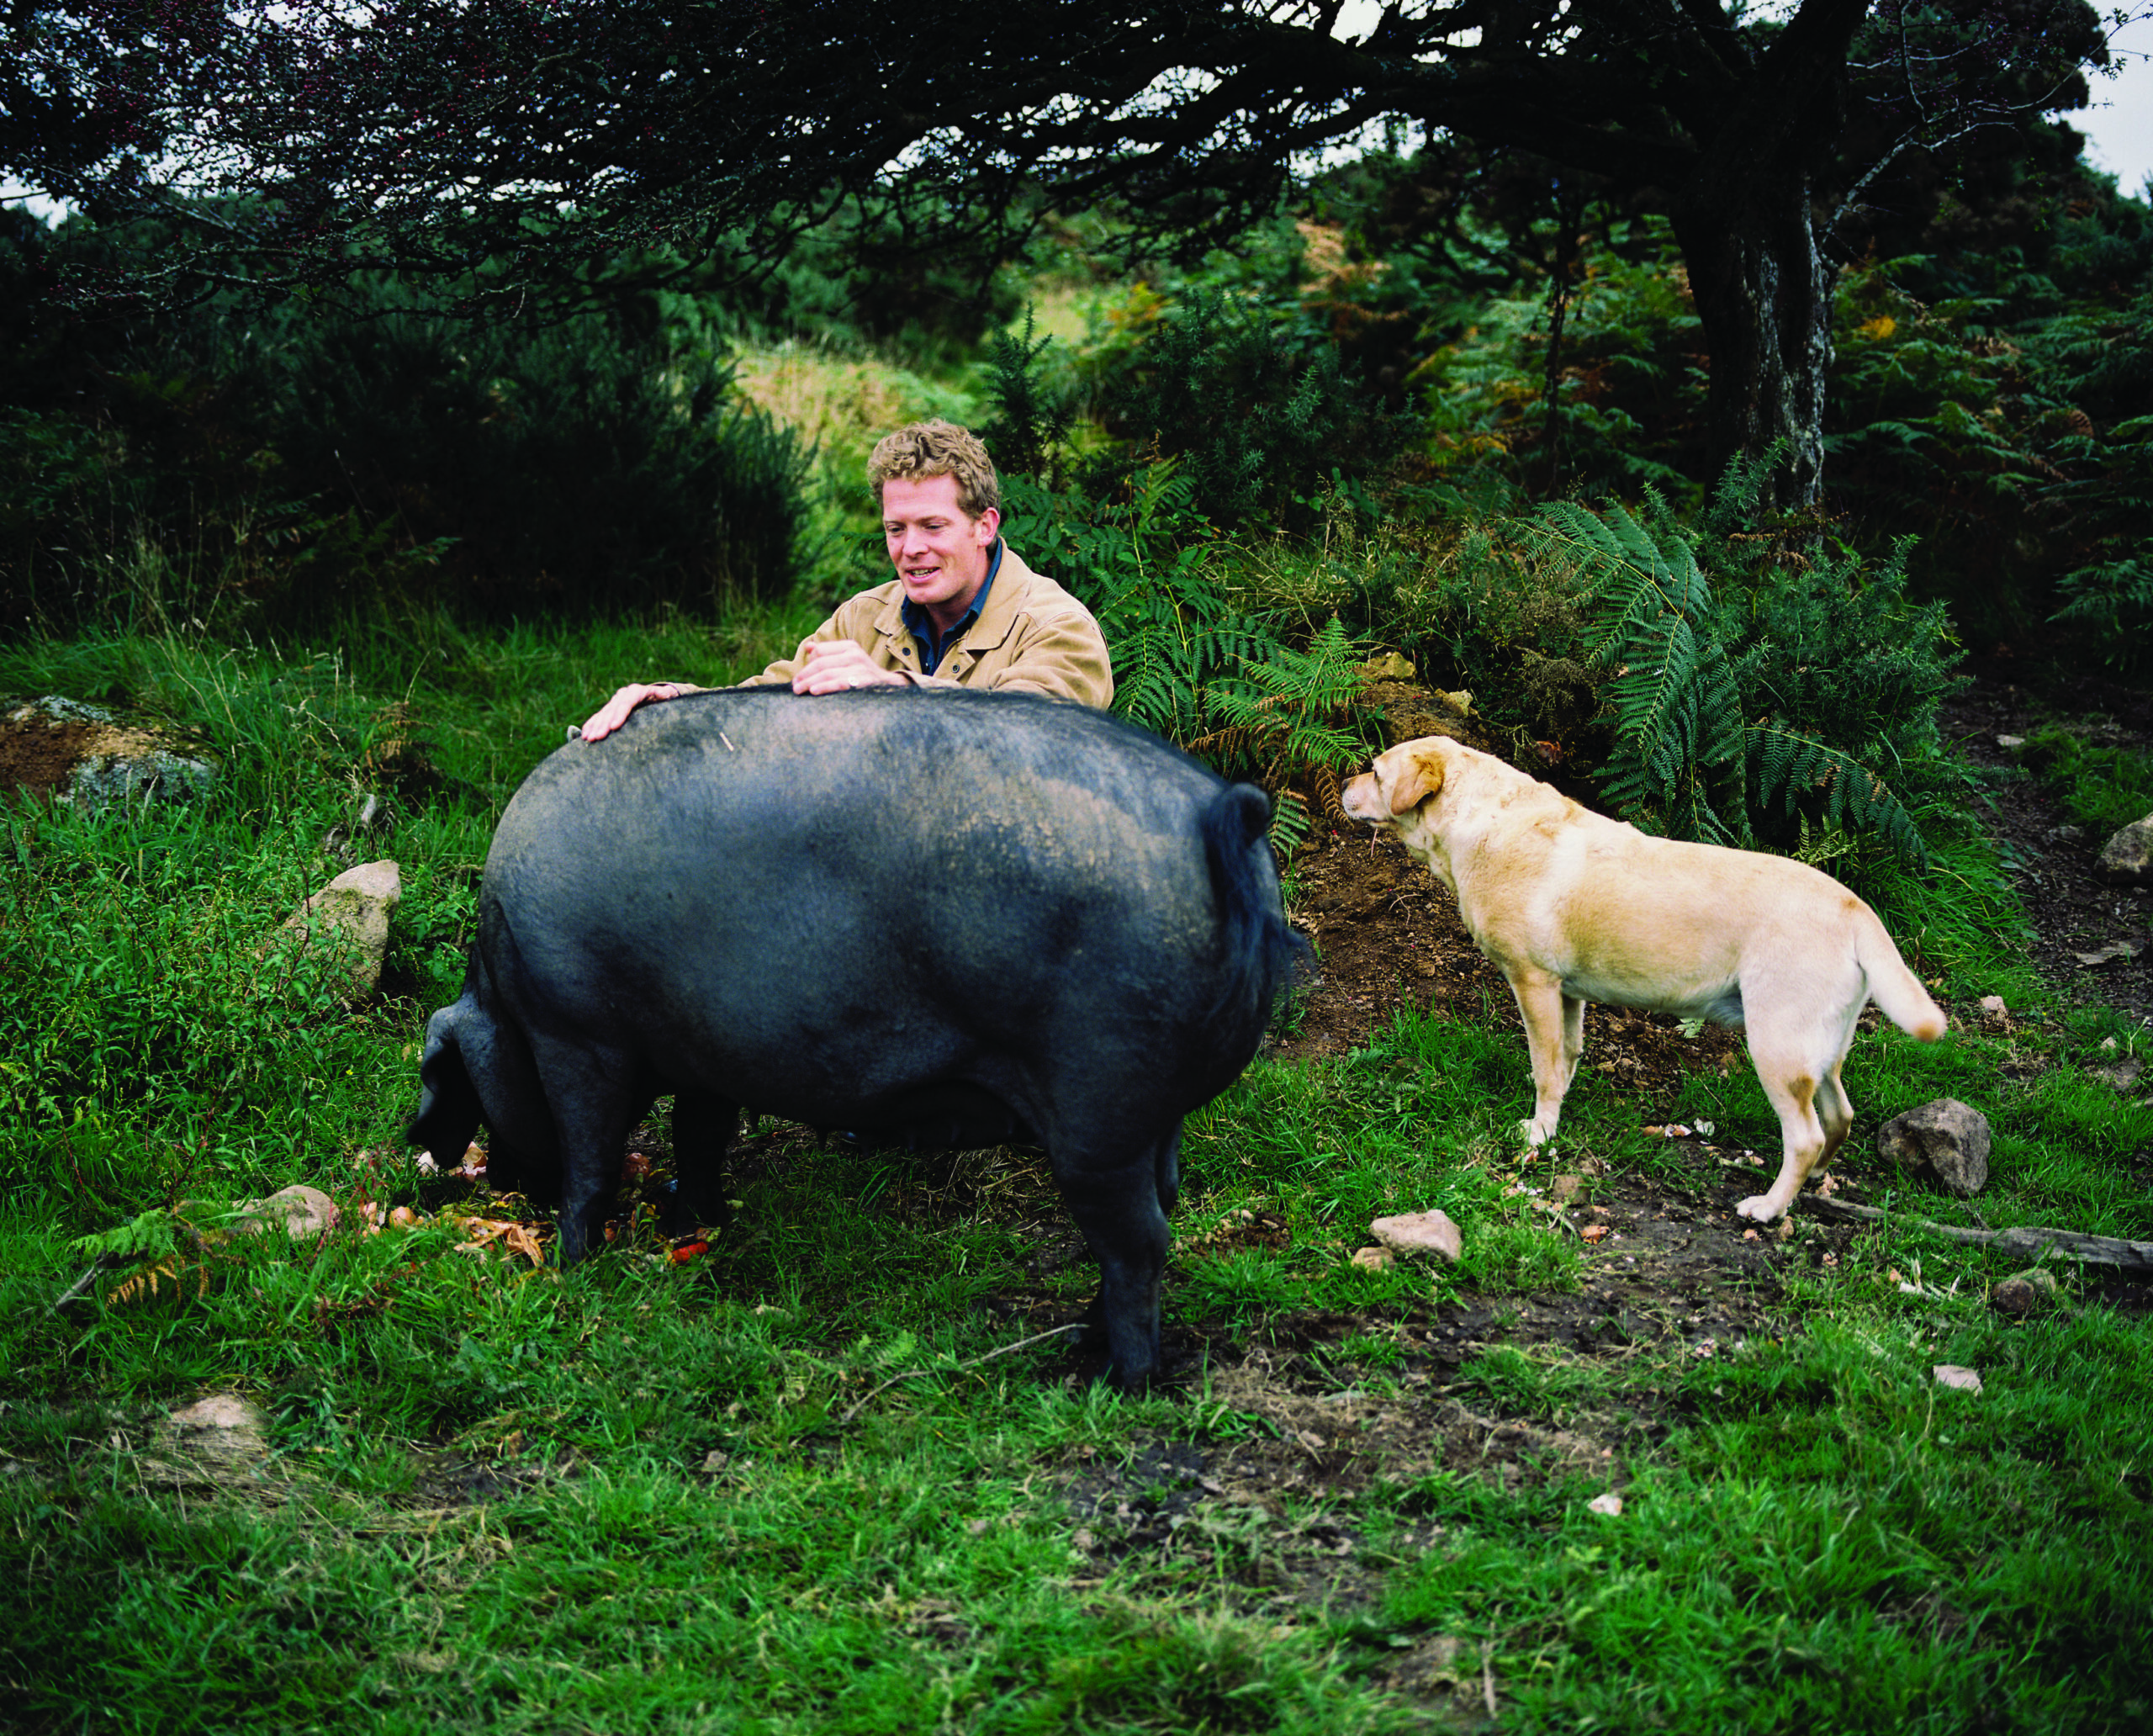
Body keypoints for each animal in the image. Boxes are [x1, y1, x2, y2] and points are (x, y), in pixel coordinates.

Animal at [410, 685, 1300, 1395]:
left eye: (449, 1084)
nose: (492, 1182)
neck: (501, 986)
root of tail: (1219, 814)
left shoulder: (577, 1034)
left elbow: (590, 1158)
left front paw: (573, 1268)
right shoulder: (707, 1055)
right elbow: (700, 1134)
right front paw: (689, 1222)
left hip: (1100, 1106)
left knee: (1139, 1240)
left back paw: (1120, 1382)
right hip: (1155, 1113)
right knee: (1161, 1208)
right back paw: (1087, 1339)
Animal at [1335, 732, 1946, 1223]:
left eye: (1375, 771)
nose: (1342, 784)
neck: (1481, 820)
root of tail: (1855, 906)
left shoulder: (1533, 983)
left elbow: (1544, 1070)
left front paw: (1541, 1133)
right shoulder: (1567, 994)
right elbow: (1565, 1058)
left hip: (1775, 1045)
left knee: (1805, 1136)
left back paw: (1770, 1206)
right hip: (1821, 1050)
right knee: (1840, 1115)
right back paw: (1816, 1180)